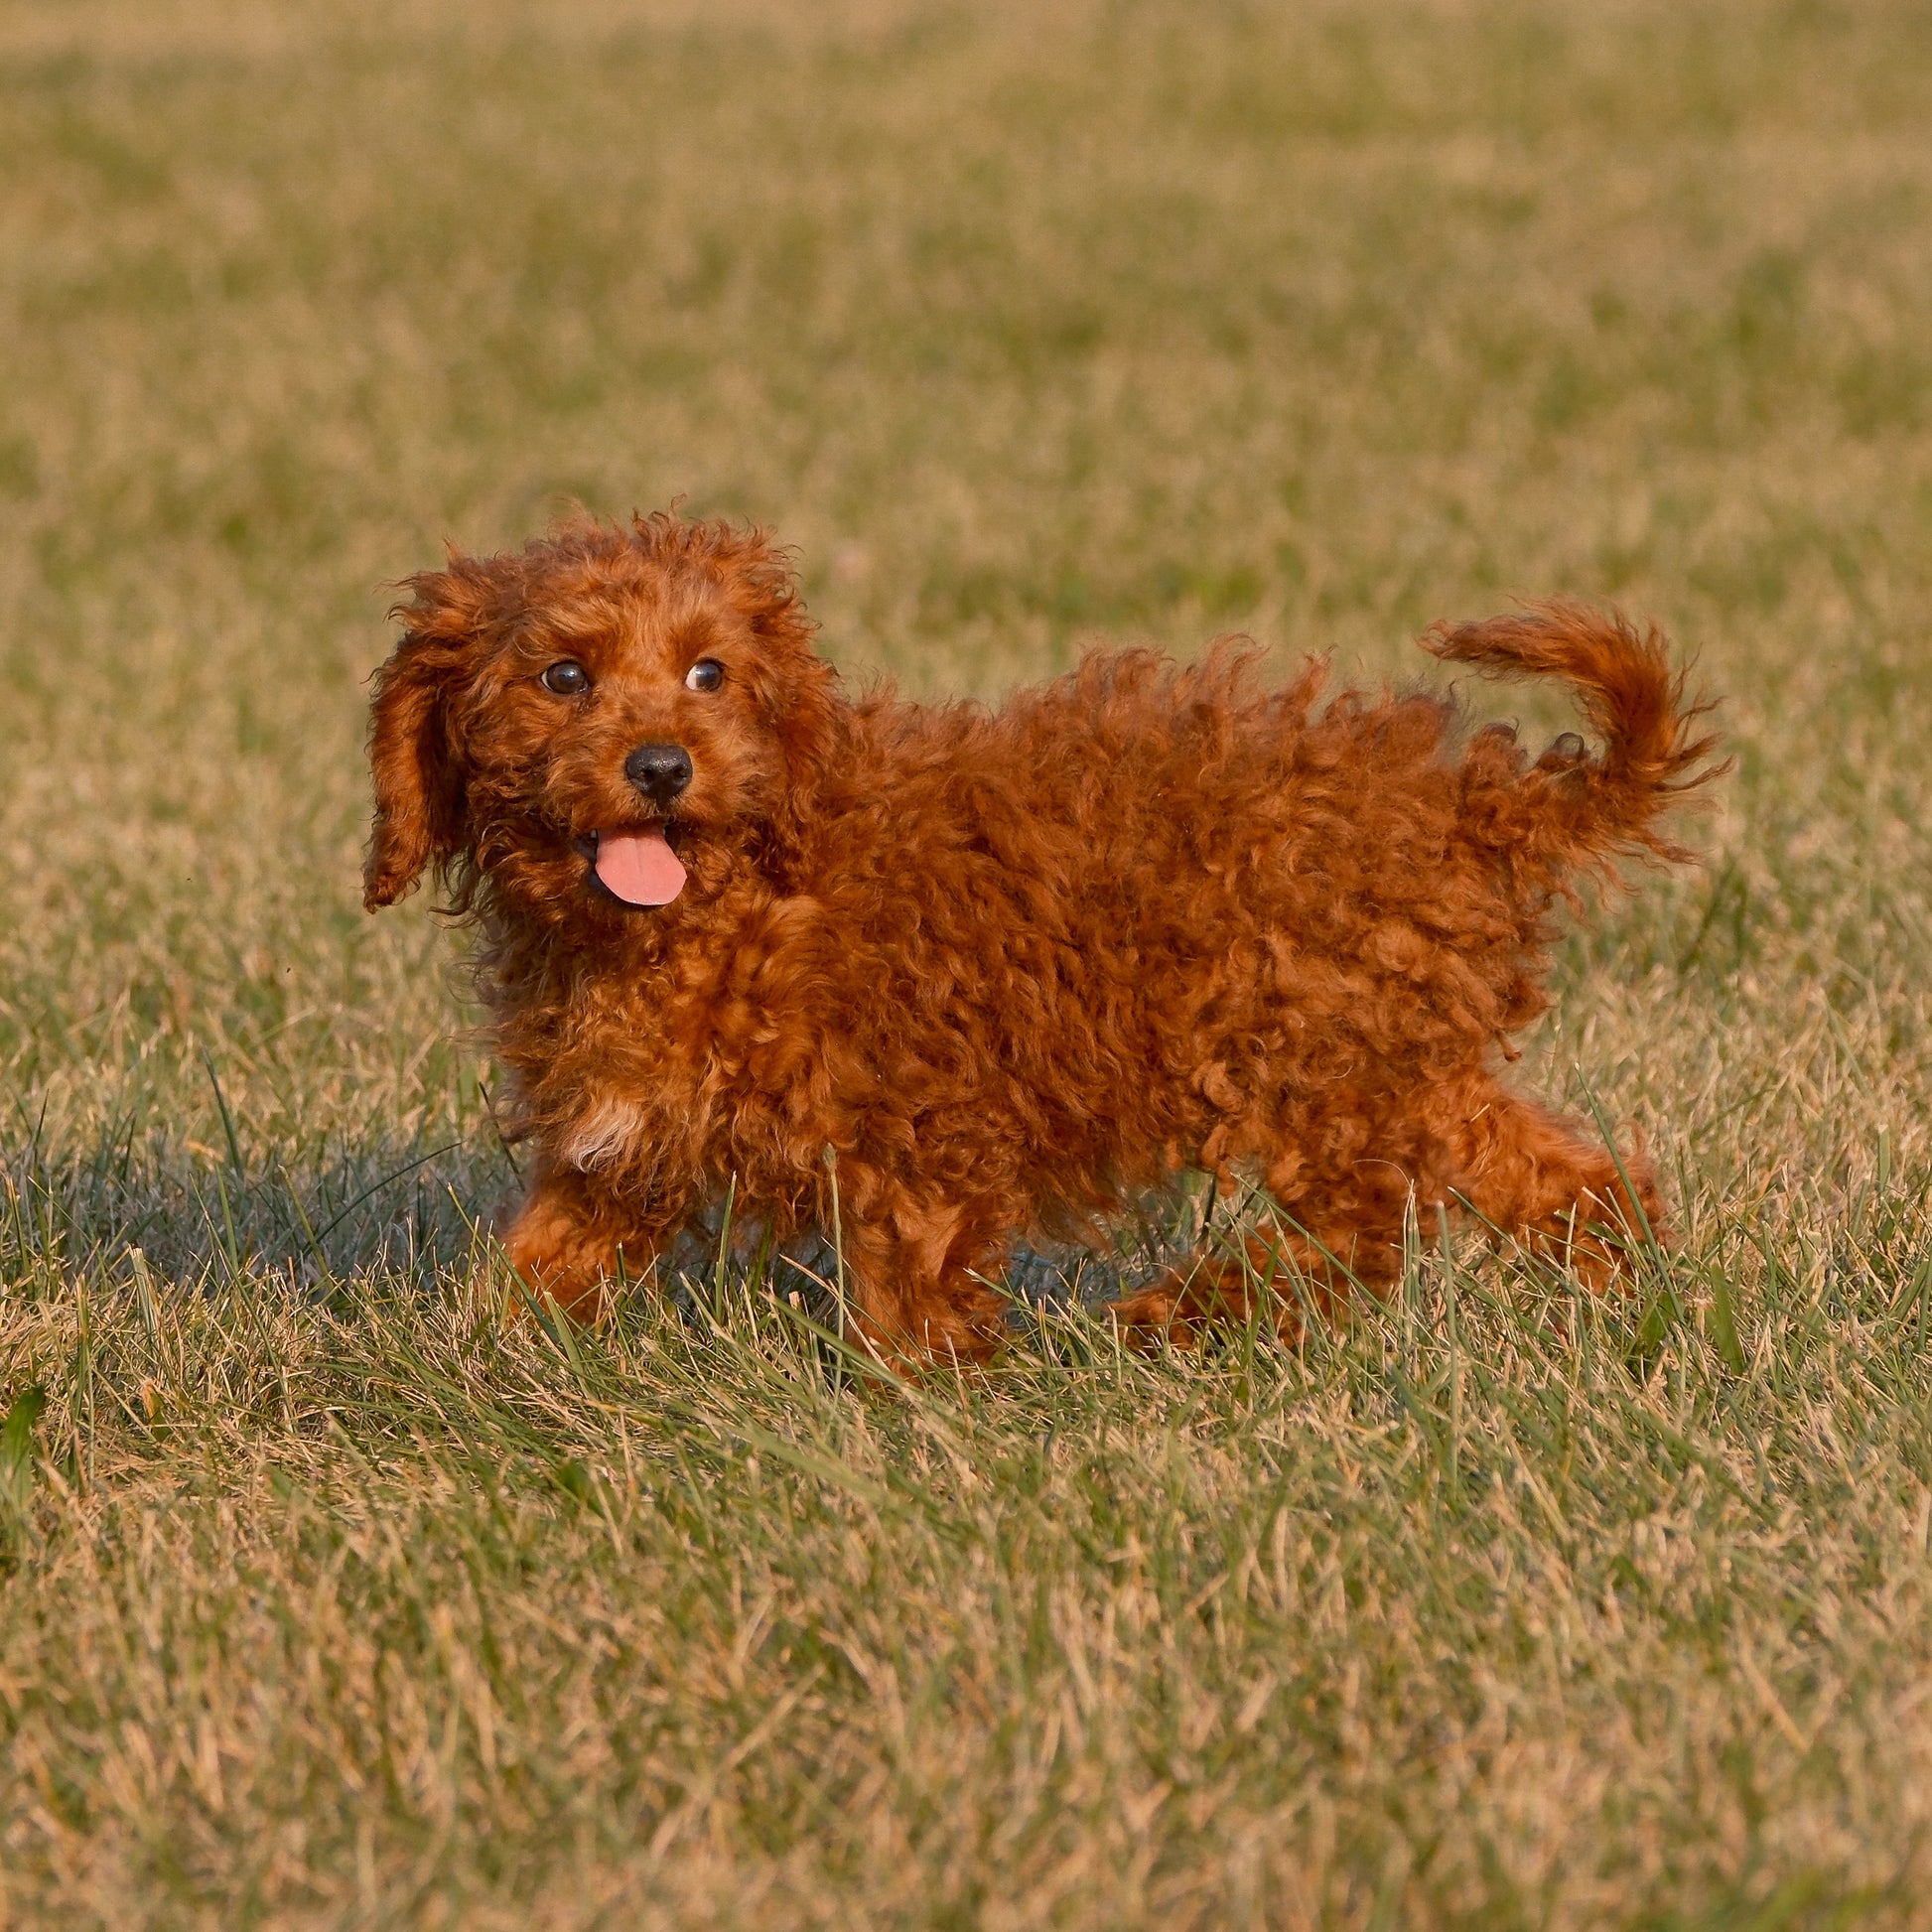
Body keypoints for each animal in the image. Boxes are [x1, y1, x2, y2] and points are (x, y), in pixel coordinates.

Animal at [364, 505, 1723, 1367]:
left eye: (709, 674)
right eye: (562, 678)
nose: (660, 767)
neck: (722, 896)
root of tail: (1472, 804)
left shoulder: (917, 1124)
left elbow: (910, 1299)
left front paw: (918, 1410)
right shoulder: (625, 1149)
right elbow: (538, 1261)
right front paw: (451, 1368)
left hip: (1303, 1055)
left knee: (1362, 1232)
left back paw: (1176, 1316)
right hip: (1395, 1057)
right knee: (1559, 1175)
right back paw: (1623, 1295)